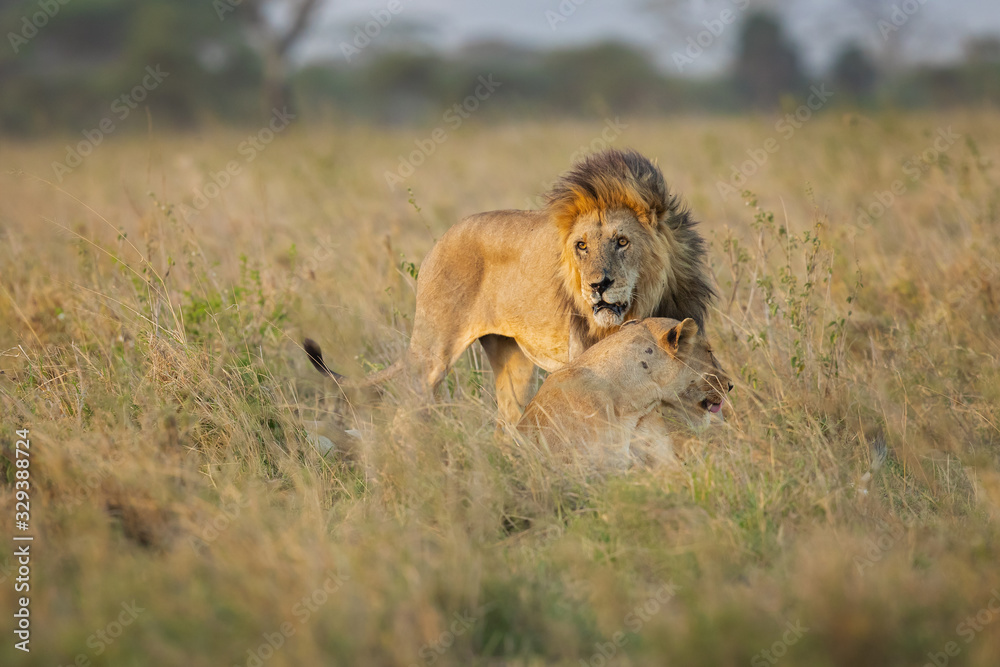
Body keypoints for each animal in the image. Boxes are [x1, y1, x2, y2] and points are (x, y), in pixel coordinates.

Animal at [304, 148, 715, 424]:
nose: (597, 286)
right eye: (582, 246)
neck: (644, 302)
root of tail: (442, 239)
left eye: (622, 241)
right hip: (431, 352)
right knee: (406, 411)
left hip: (511, 359)